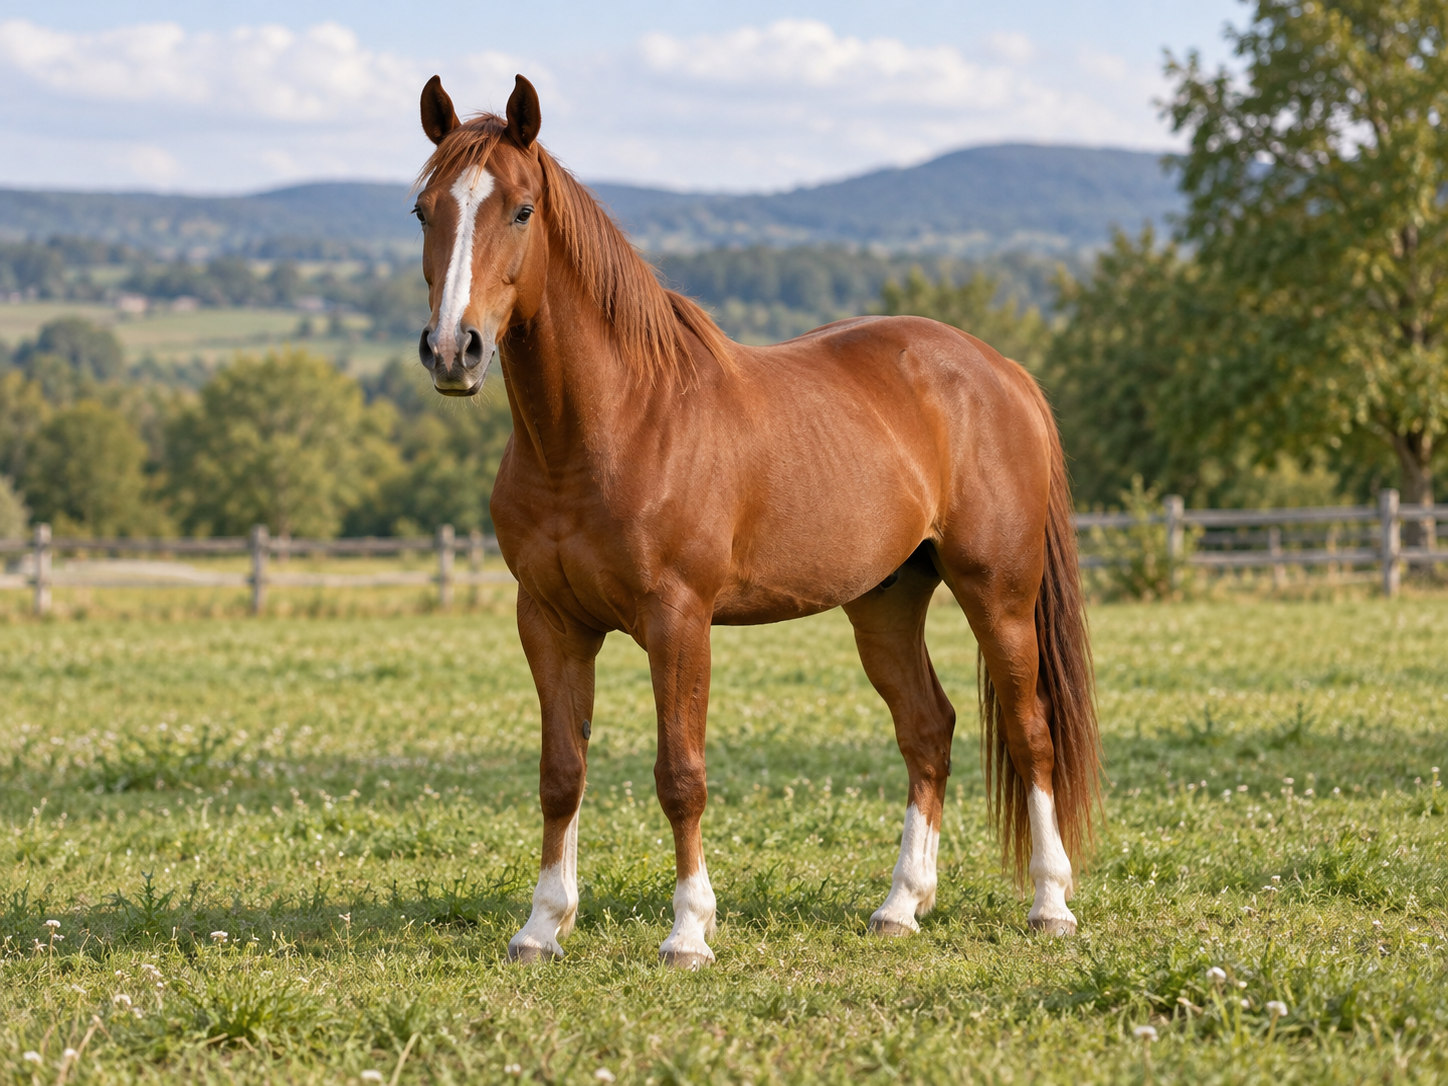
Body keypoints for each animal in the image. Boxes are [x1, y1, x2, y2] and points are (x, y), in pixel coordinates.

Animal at [412, 74, 1101, 968]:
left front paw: (688, 931)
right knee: (928, 729)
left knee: (1030, 729)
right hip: (886, 603)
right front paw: (541, 925)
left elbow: (681, 775)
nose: (451, 349)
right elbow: (560, 772)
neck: (610, 426)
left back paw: (1050, 903)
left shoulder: (678, 620)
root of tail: (1001, 371)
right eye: (424, 210)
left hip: (999, 595)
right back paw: (900, 905)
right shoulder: (550, 622)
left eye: (522, 210)